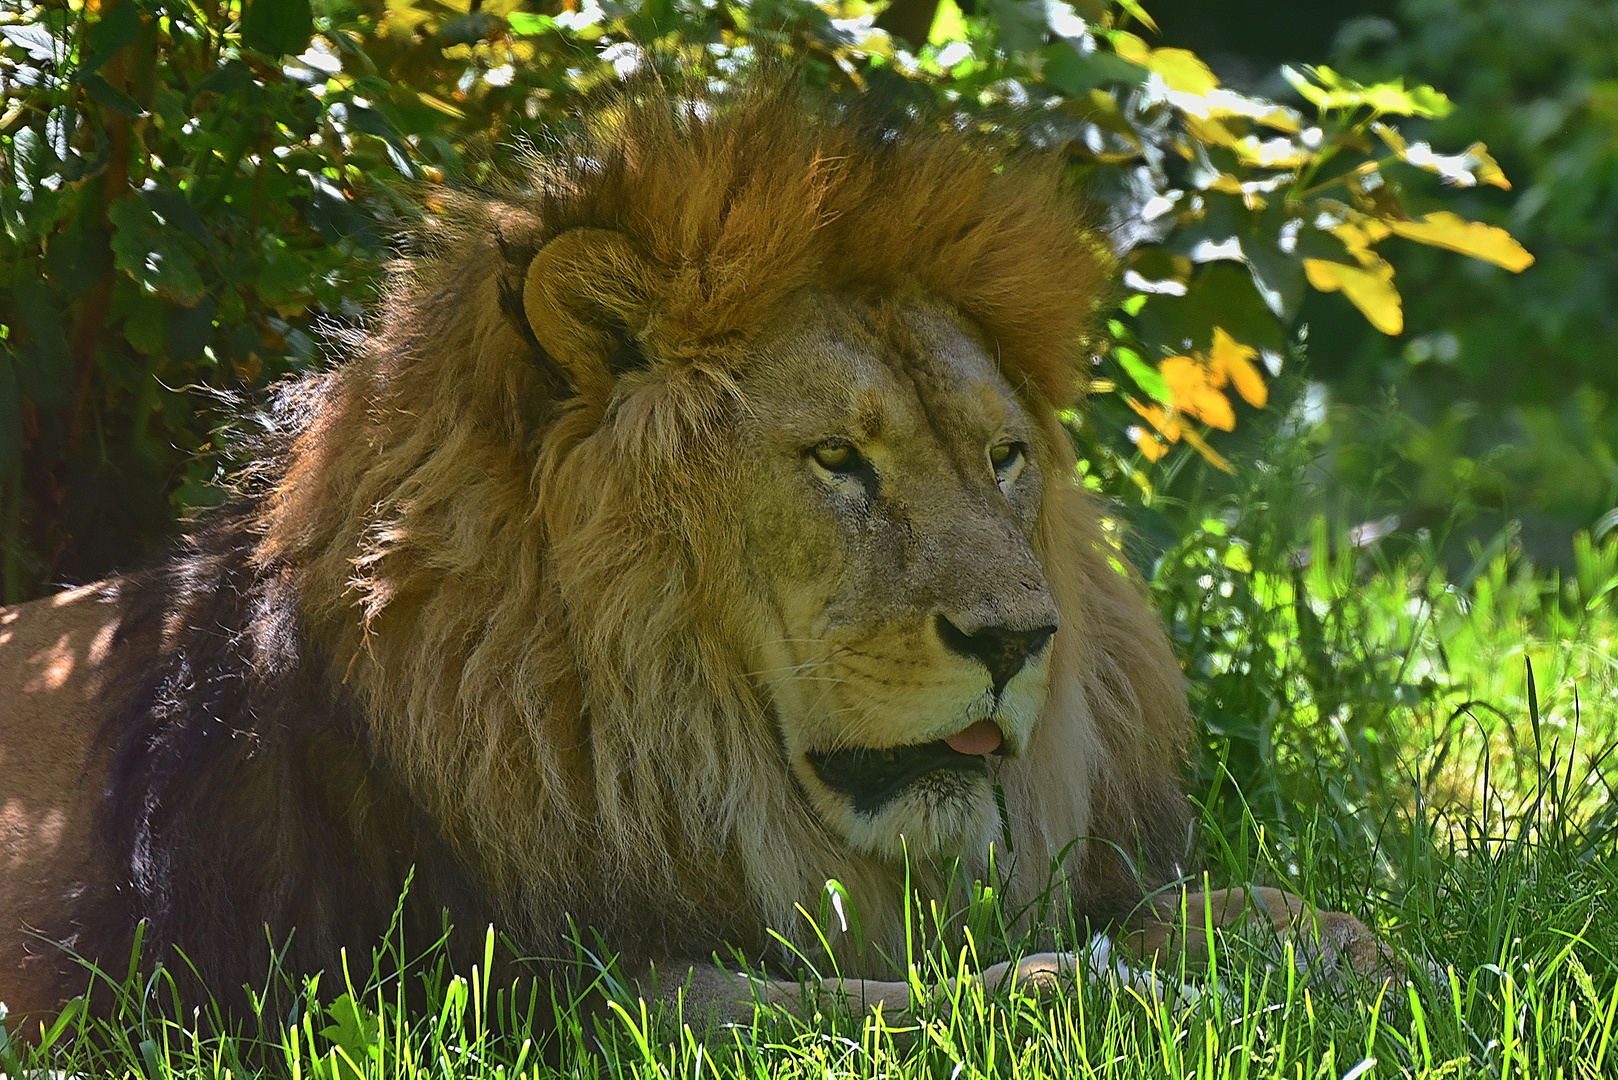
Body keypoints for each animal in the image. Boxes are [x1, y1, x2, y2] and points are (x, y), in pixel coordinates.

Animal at [0, 80, 1391, 1036]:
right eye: (836, 458)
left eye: (1002, 456)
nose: (1017, 641)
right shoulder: (496, 991)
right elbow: (874, 1004)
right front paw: (1115, 996)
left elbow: (1235, 909)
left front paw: (1356, 957)